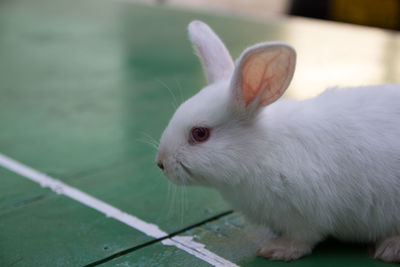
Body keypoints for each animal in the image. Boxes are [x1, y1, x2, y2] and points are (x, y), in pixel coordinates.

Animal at [155, 21, 400, 264]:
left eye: (200, 133)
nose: (161, 163)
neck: (260, 151)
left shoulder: (307, 215)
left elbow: (302, 239)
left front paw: (276, 250)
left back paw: (388, 249)